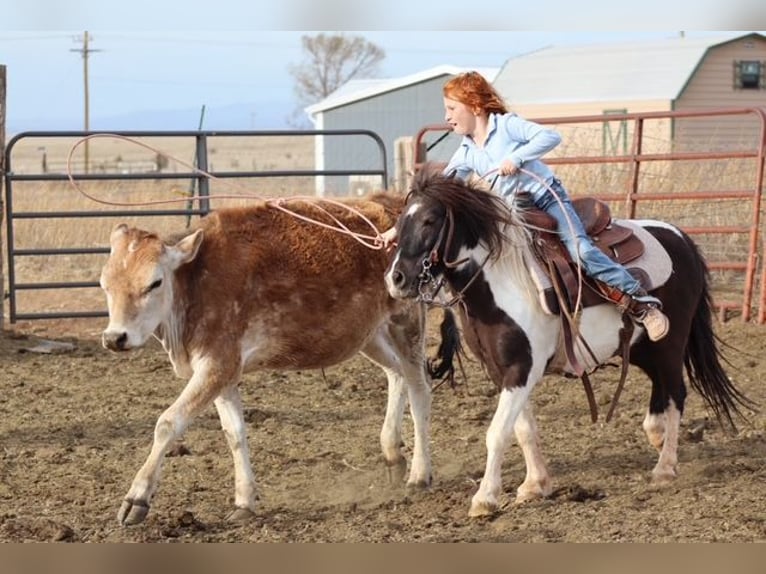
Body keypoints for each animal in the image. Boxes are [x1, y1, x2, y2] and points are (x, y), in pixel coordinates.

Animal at [99, 192, 458, 525]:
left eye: (154, 282)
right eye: (105, 284)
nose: (115, 337)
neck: (197, 281)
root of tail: (395, 205)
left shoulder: (217, 365)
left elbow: (168, 423)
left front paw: (136, 499)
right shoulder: (224, 373)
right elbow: (234, 434)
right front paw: (244, 502)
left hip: (406, 322)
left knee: (419, 390)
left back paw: (419, 474)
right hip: (369, 335)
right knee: (396, 375)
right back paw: (392, 453)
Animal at [384, 169, 753, 517]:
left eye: (429, 221)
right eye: (401, 223)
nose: (396, 279)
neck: (501, 285)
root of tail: (681, 238)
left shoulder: (521, 368)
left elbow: (498, 432)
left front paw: (485, 499)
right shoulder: (504, 372)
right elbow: (524, 430)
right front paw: (535, 485)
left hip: (671, 346)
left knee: (676, 395)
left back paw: (664, 467)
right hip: (644, 349)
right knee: (660, 392)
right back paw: (658, 437)